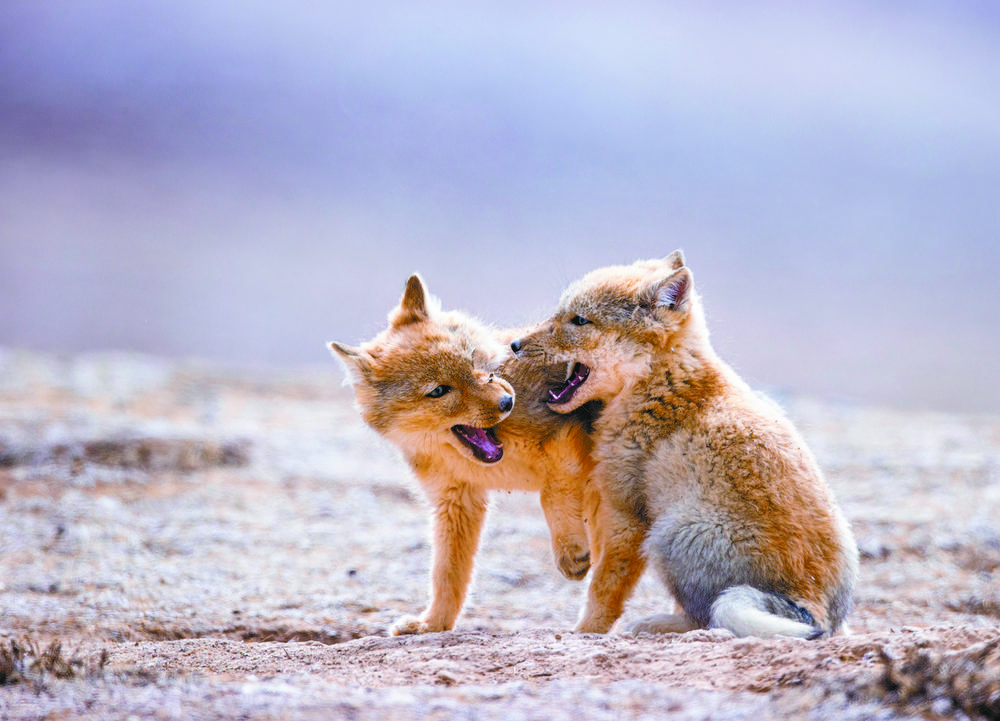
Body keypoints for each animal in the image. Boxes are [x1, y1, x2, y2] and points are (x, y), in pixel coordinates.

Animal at [329, 274, 596, 635]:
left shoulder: (565, 439)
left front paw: (570, 551)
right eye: (439, 391)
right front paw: (432, 624)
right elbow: (447, 574)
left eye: (473, 362)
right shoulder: (456, 502)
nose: (507, 402)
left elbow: (552, 493)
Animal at [511, 251, 858, 638]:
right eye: (560, 313)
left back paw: (656, 623)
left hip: (669, 533)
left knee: (705, 618)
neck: (661, 388)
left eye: (579, 321)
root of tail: (814, 604)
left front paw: (586, 632)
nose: (514, 345)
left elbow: (603, 590)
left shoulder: (626, 516)